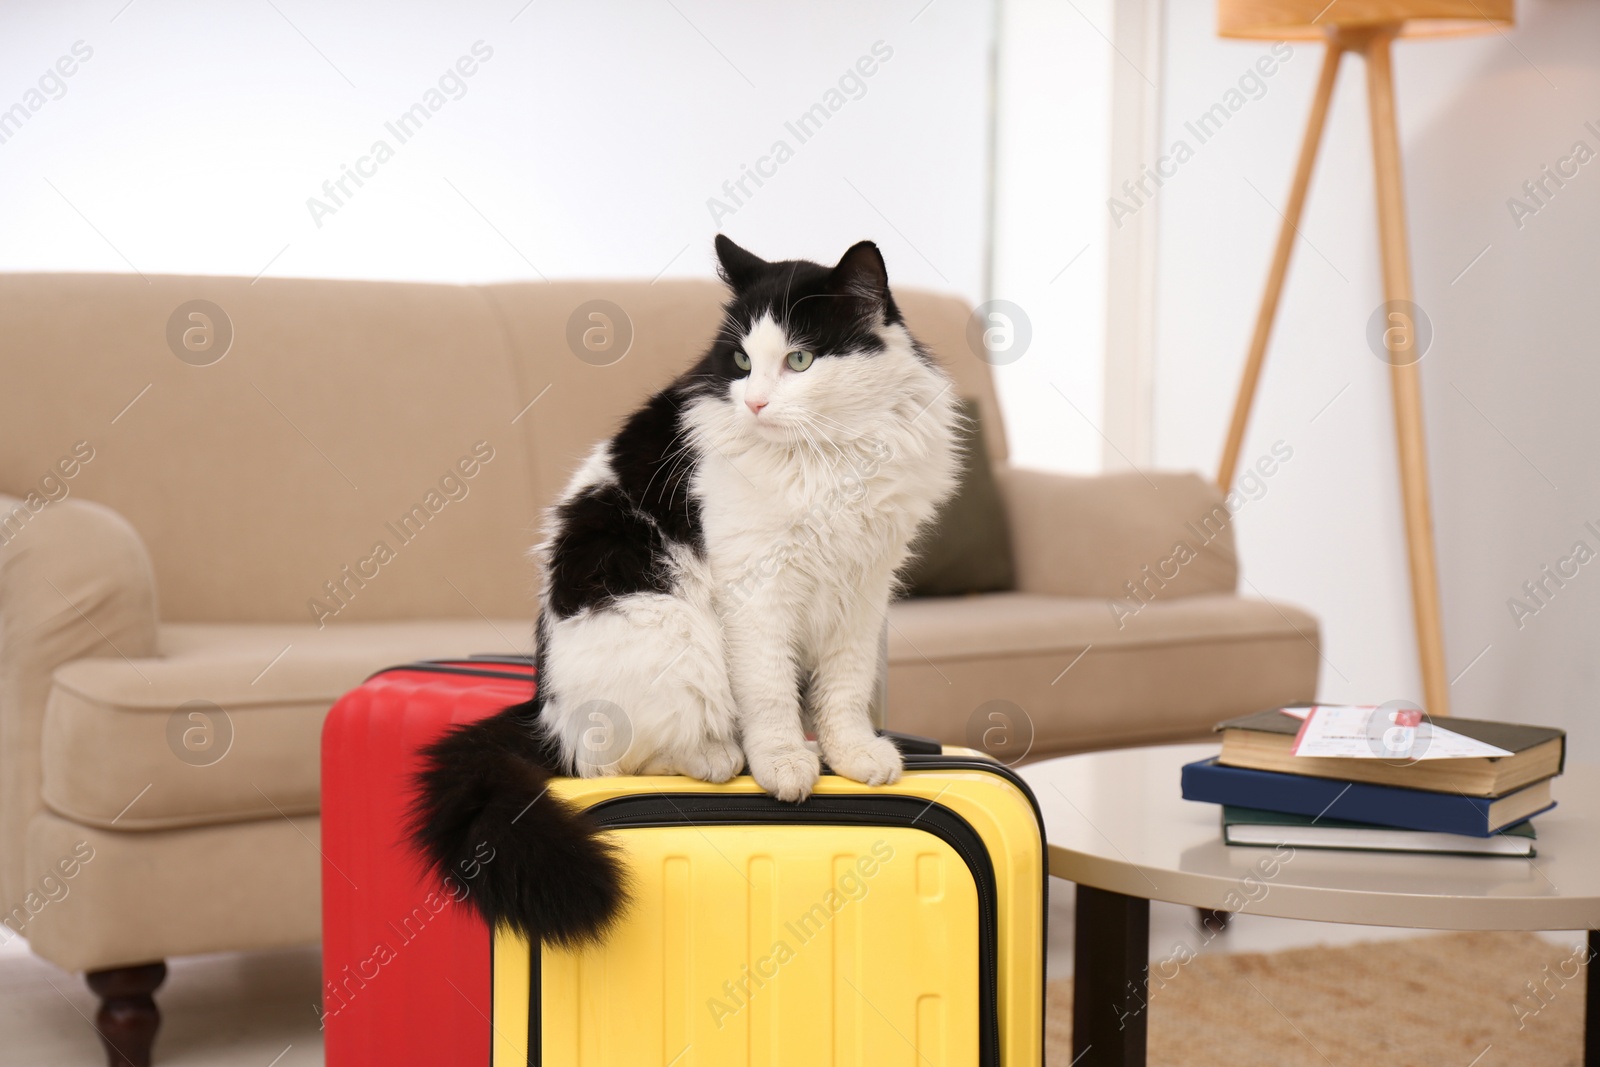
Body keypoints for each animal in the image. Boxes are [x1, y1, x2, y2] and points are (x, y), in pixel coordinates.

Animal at [416, 238, 960, 947]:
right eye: (741, 362)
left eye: (800, 360)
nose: (754, 404)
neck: (827, 457)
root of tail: (541, 706)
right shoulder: (756, 589)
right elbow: (769, 693)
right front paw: (784, 763)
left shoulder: (865, 590)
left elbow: (843, 691)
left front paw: (851, 755)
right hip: (667, 625)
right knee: (607, 761)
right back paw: (720, 757)